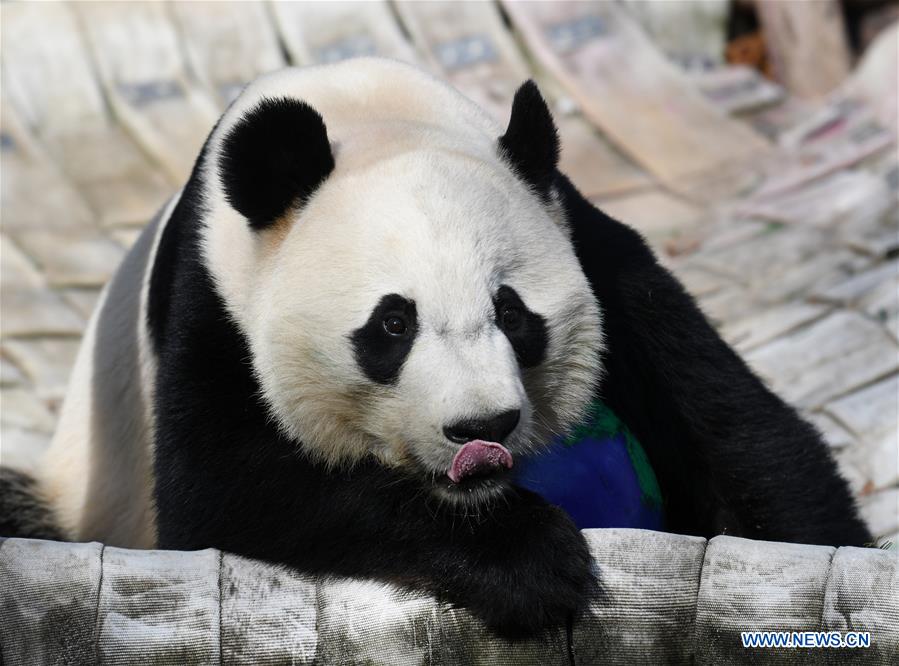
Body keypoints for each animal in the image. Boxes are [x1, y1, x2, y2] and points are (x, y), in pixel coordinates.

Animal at [0, 58, 869, 639]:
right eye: (392, 326)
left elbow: (735, 429)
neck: (366, 115)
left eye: (513, 314)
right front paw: (528, 562)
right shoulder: (215, 298)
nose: (480, 429)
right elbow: (225, 488)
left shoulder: (585, 239)